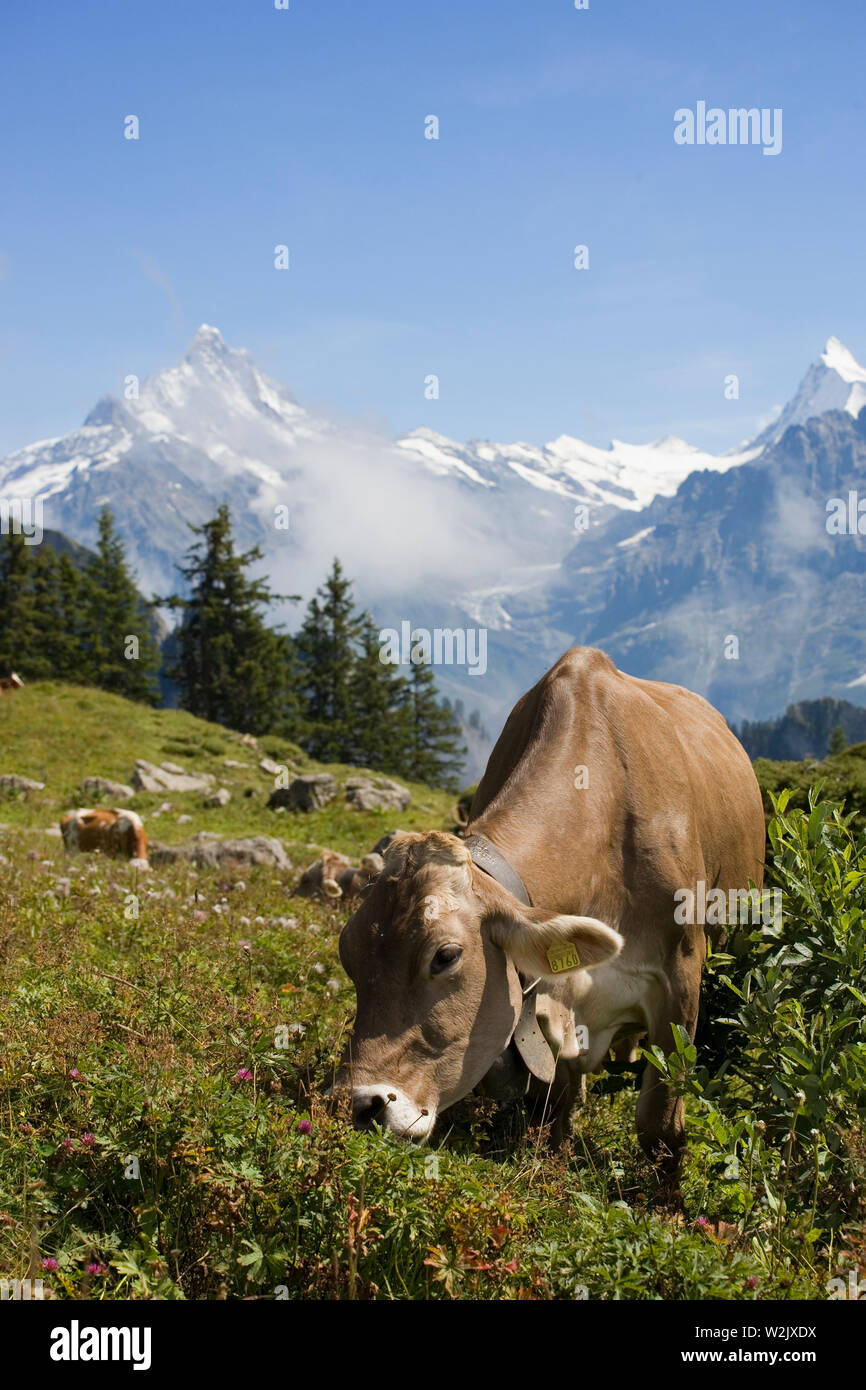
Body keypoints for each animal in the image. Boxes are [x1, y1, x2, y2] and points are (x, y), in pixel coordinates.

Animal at [335, 647, 765, 1181]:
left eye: (445, 956)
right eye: (348, 956)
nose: (360, 1104)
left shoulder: (681, 976)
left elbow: (660, 1127)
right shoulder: (546, 1003)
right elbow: (557, 1104)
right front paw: (555, 1168)